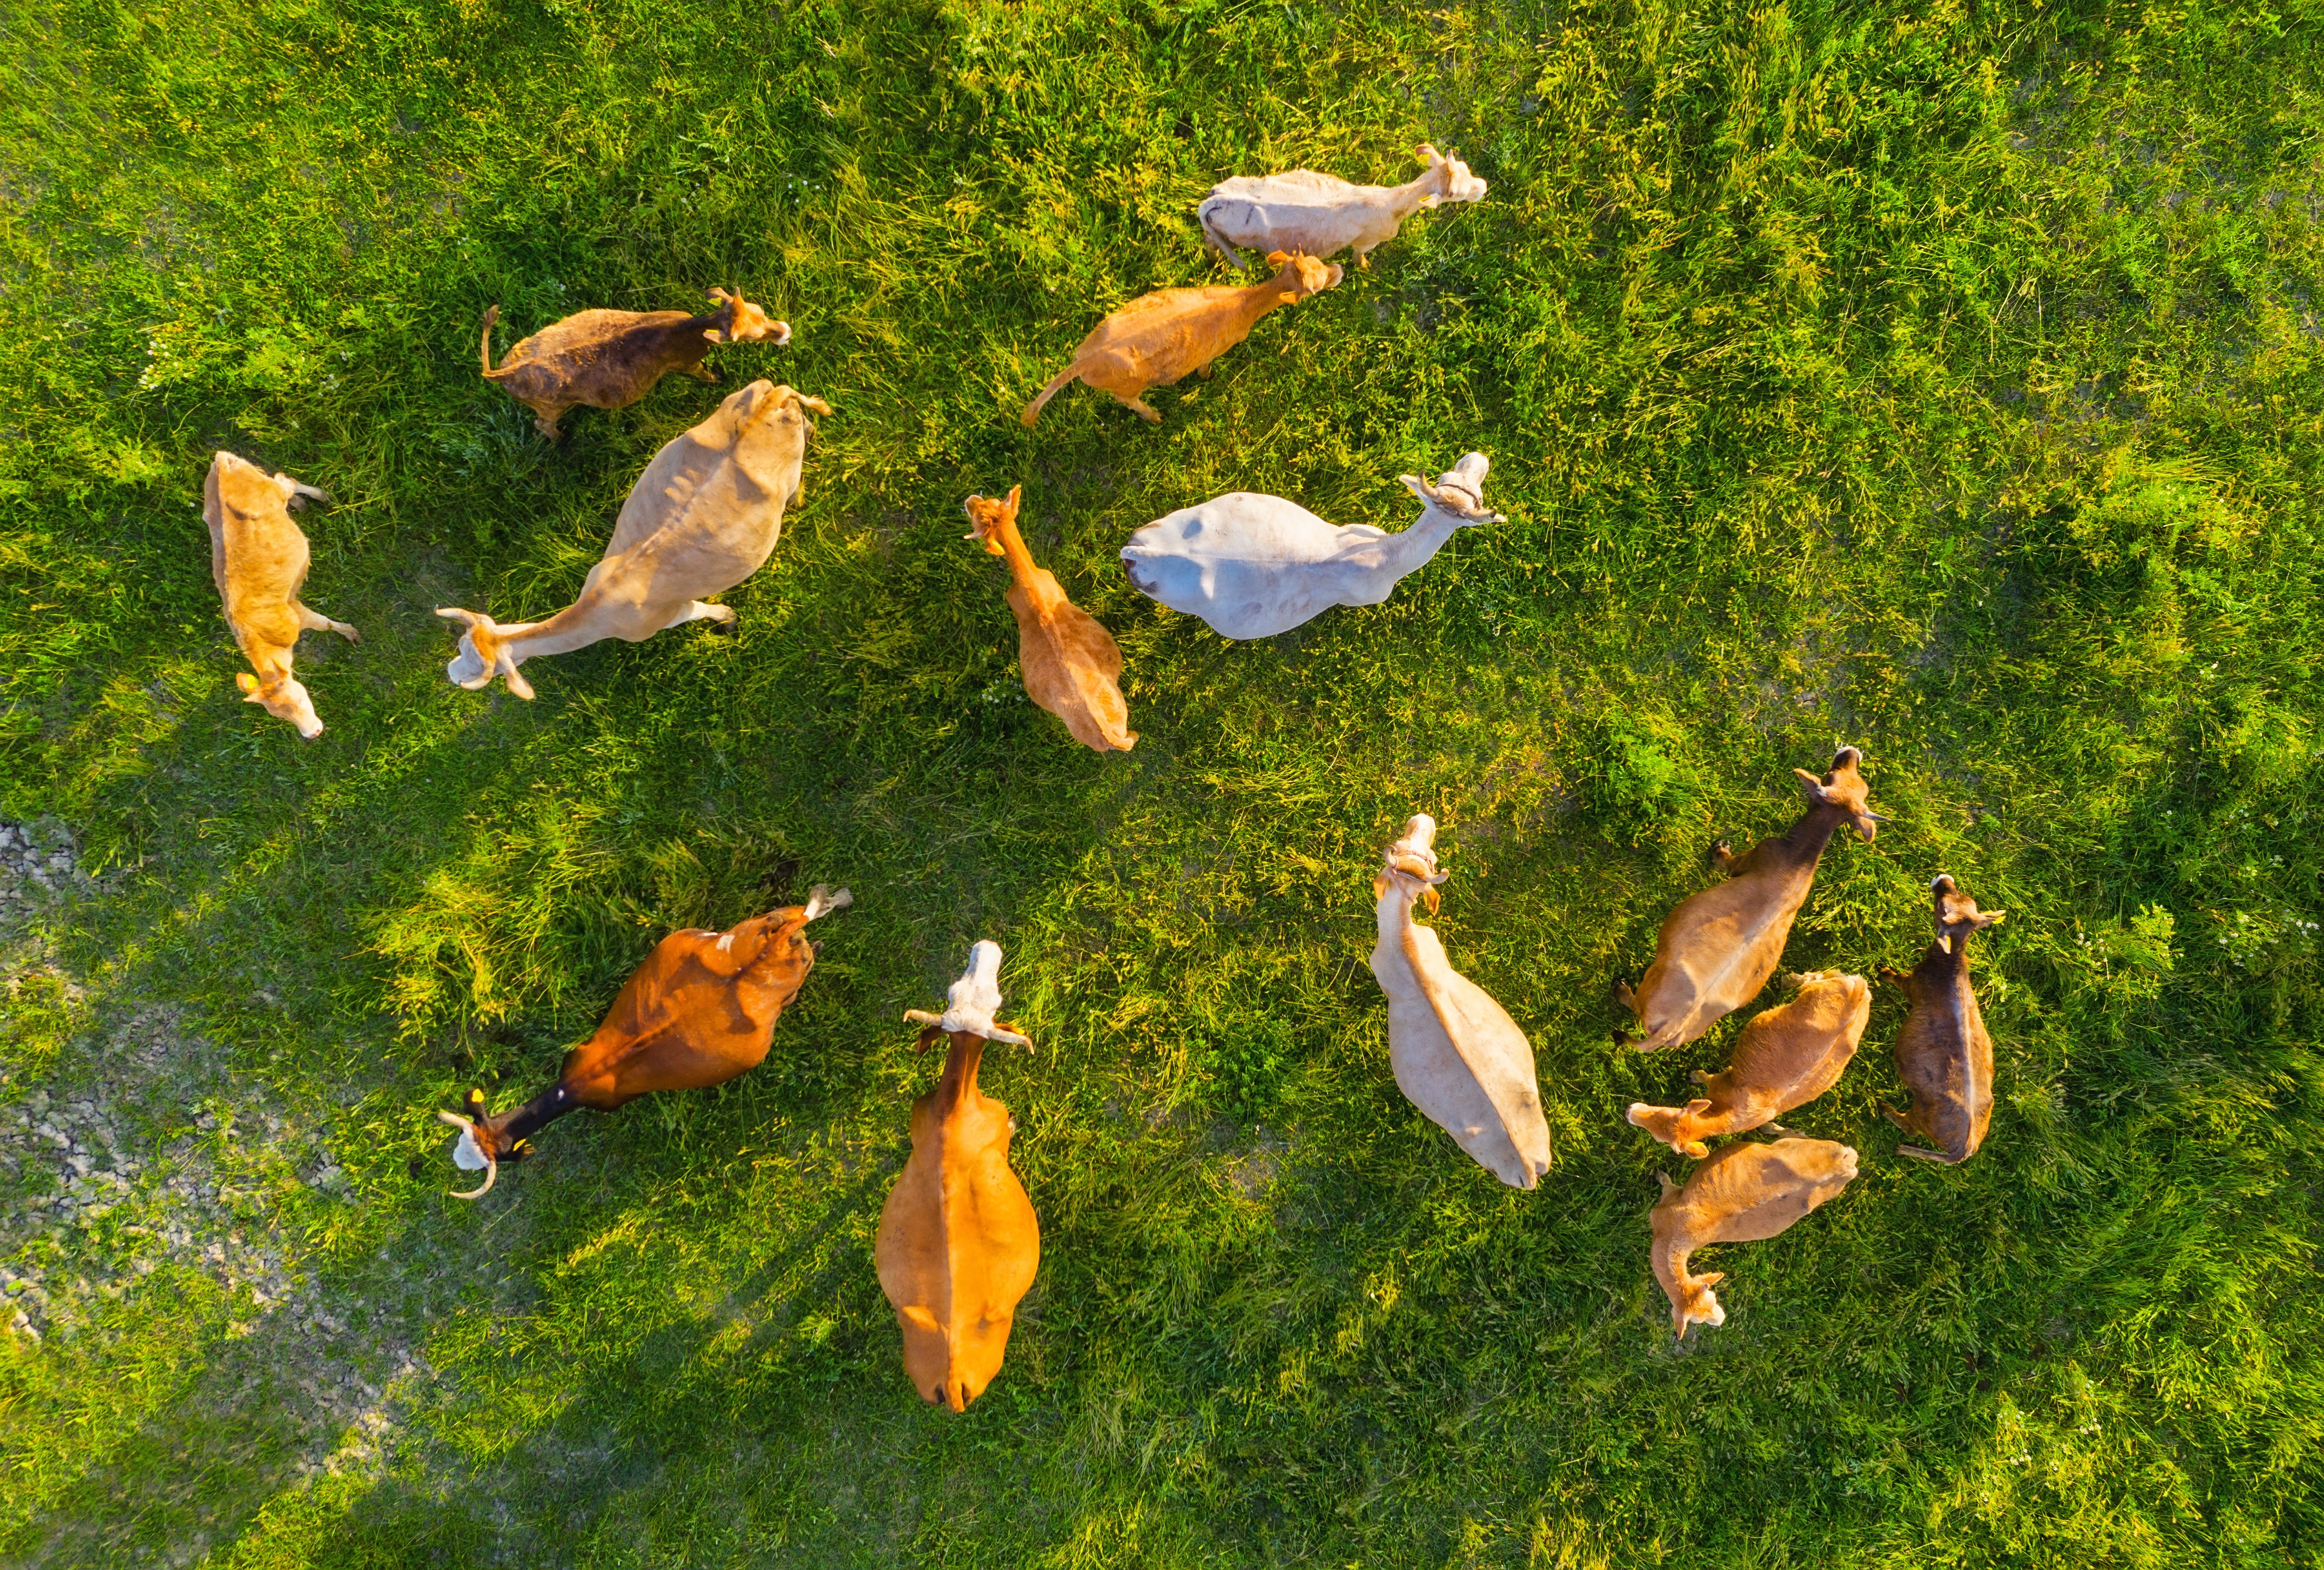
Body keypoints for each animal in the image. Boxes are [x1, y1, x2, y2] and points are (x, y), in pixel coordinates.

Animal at [202, 451, 358, 740]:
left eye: (300, 700)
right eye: (279, 716)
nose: (312, 734)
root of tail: (221, 461)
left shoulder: (296, 610)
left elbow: (326, 624)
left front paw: (350, 633)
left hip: (273, 489)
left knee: (287, 480)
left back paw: (318, 497)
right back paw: (301, 504)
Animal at [436, 380, 830, 698]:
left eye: (482, 675)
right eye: (461, 646)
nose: (451, 674)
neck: (600, 607)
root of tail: (770, 399)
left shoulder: (668, 615)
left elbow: (703, 610)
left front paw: (727, 617)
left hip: (790, 470)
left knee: (795, 480)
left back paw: (799, 495)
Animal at [1021, 251, 1342, 427]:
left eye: (1319, 261)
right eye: (1316, 286)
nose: (1339, 270)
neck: (1245, 304)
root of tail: (1085, 360)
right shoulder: (1214, 351)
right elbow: (1205, 368)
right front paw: (1207, 378)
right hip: (1129, 385)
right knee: (1126, 400)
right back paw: (1154, 416)